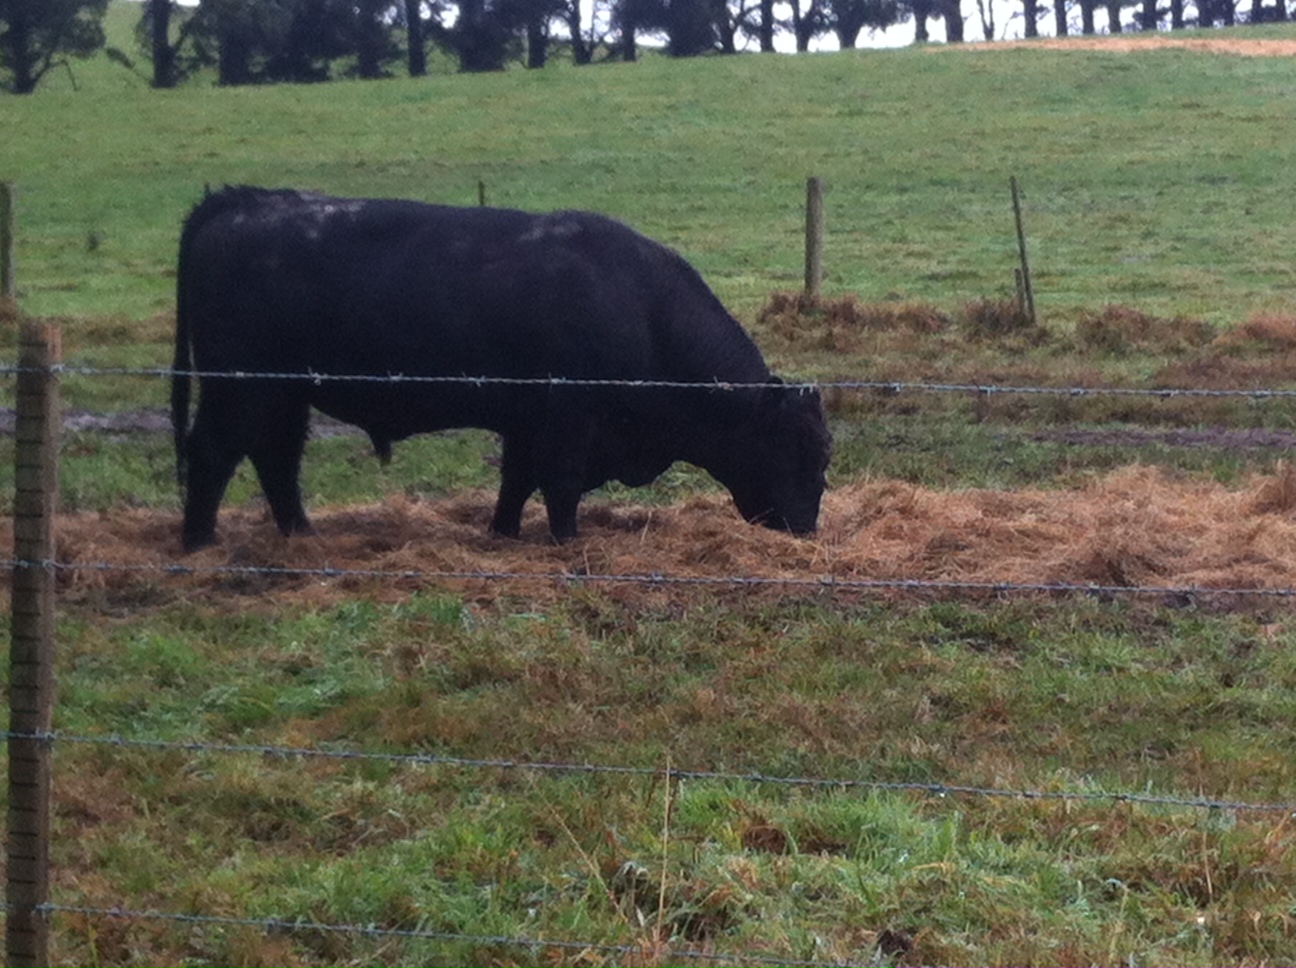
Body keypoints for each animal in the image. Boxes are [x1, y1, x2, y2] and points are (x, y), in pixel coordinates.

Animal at [171, 187, 831, 552]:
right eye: (802, 449)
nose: (804, 529)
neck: (642, 307)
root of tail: (244, 199)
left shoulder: (524, 421)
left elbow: (516, 481)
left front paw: (504, 533)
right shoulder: (567, 419)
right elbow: (558, 483)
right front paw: (566, 542)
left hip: (284, 396)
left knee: (274, 458)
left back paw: (301, 534)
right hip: (240, 392)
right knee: (214, 453)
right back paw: (199, 542)